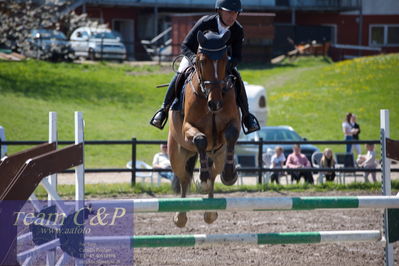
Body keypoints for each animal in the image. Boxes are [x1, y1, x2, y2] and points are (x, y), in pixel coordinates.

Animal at [168, 30, 241, 227]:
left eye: (224, 60)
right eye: (201, 61)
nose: (215, 104)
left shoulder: (233, 124)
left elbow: (230, 134)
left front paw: (229, 175)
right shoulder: (188, 128)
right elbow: (200, 138)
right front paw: (202, 176)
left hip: (219, 154)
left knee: (214, 174)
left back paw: (210, 212)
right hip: (176, 153)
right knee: (184, 178)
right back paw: (180, 216)